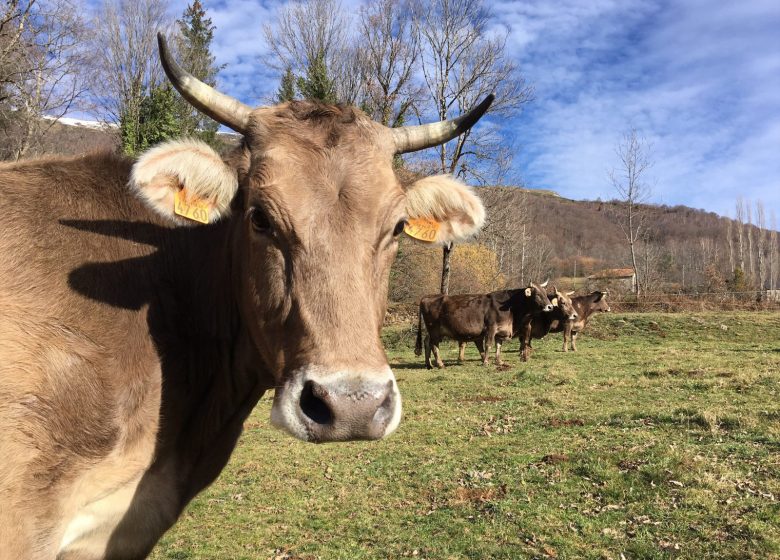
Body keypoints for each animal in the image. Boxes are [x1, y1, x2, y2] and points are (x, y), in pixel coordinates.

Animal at [414, 282, 556, 370]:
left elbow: (498, 346)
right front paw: (486, 362)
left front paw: (499, 361)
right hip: (435, 330)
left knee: (426, 342)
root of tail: (427, 297)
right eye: (537, 295)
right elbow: (488, 345)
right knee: (434, 345)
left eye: (545, 293)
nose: (550, 306)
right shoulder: (491, 328)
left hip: (432, 331)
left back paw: (429, 364)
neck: (511, 308)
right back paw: (440, 364)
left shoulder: (501, 331)